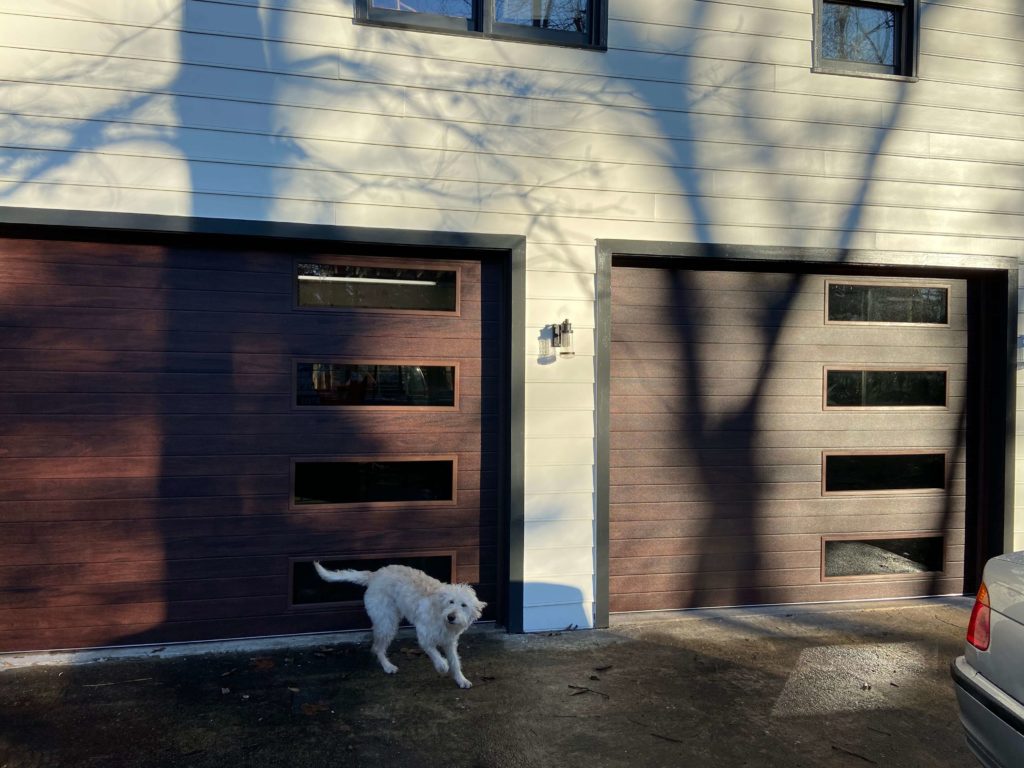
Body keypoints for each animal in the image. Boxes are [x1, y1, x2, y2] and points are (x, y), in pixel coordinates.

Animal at [313, 561, 485, 692]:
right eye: (451, 602)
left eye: (464, 605)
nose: (451, 617)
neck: (440, 612)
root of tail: (375, 575)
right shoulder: (424, 636)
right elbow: (433, 652)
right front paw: (442, 665)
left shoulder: (450, 642)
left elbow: (455, 662)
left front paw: (461, 679)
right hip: (386, 622)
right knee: (377, 648)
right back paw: (387, 666)